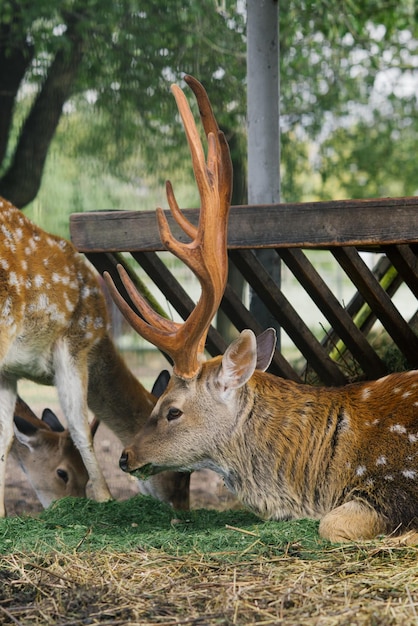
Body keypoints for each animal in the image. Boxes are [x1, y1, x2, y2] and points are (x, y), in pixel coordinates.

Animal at [0, 197, 188, 516]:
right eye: (183, 470)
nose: (181, 507)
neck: (101, 345)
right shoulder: (77, 342)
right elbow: (80, 427)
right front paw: (106, 499)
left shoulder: (9, 371)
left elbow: (5, 435)